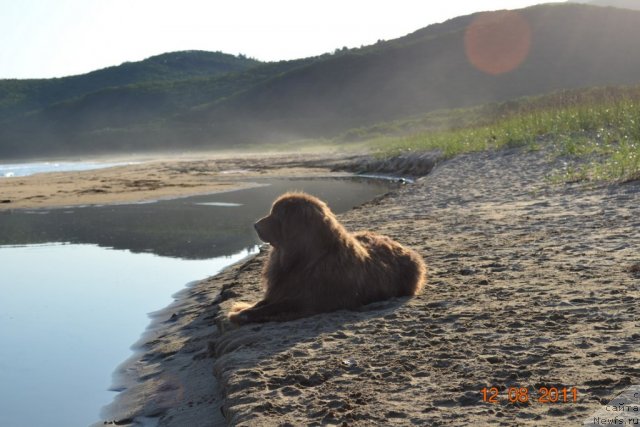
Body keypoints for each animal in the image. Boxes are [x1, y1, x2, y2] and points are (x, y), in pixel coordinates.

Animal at [228, 192, 428, 326]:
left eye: (277, 215)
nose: (255, 225)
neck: (304, 259)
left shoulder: (308, 299)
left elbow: (274, 307)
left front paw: (242, 314)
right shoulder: (282, 289)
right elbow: (263, 302)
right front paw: (244, 308)